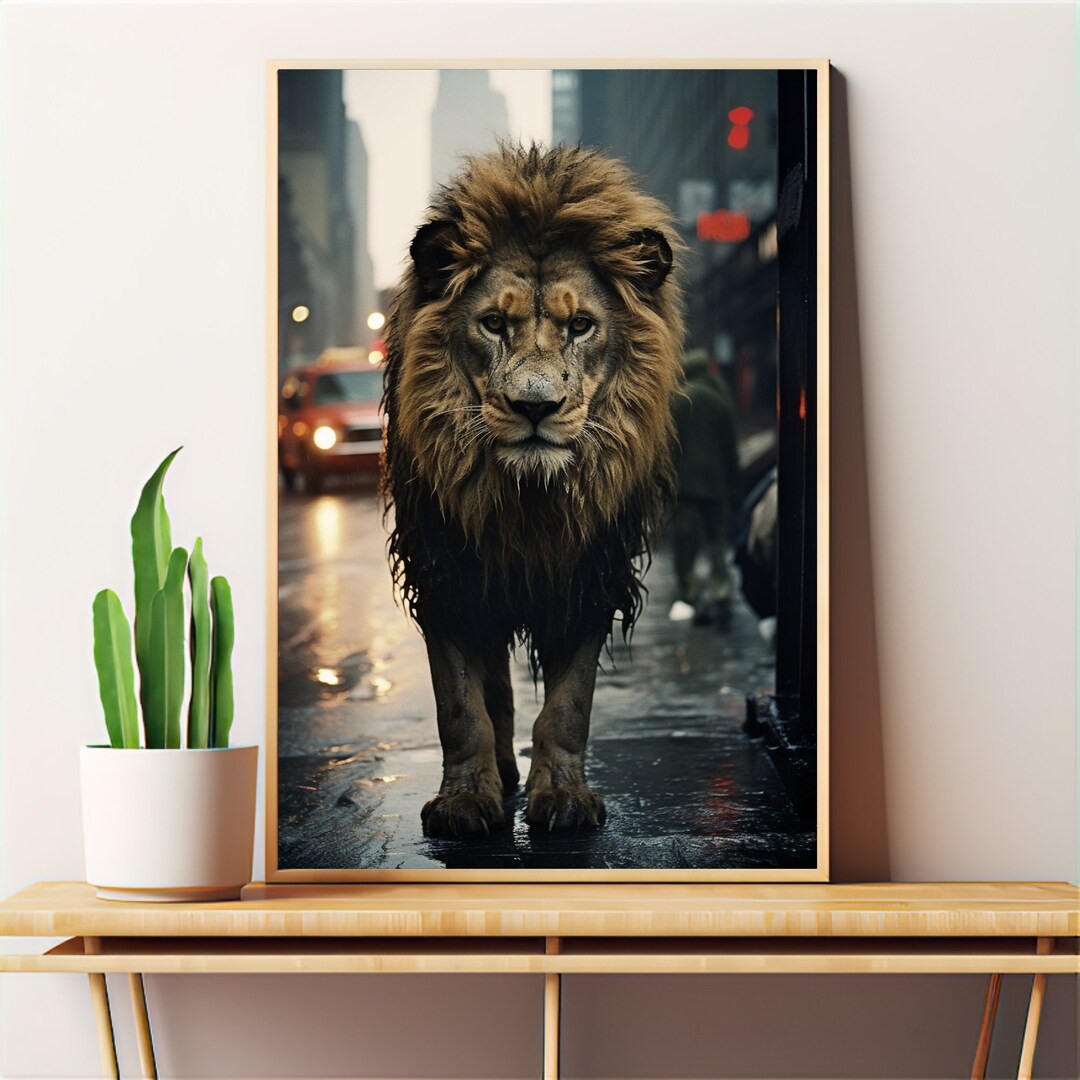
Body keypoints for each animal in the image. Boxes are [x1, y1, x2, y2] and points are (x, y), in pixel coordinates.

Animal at [382, 143, 685, 839]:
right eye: (494, 323)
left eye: (581, 326)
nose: (535, 407)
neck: (528, 500)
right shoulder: (446, 572)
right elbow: (461, 705)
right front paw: (466, 802)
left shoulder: (590, 574)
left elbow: (569, 705)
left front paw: (566, 798)